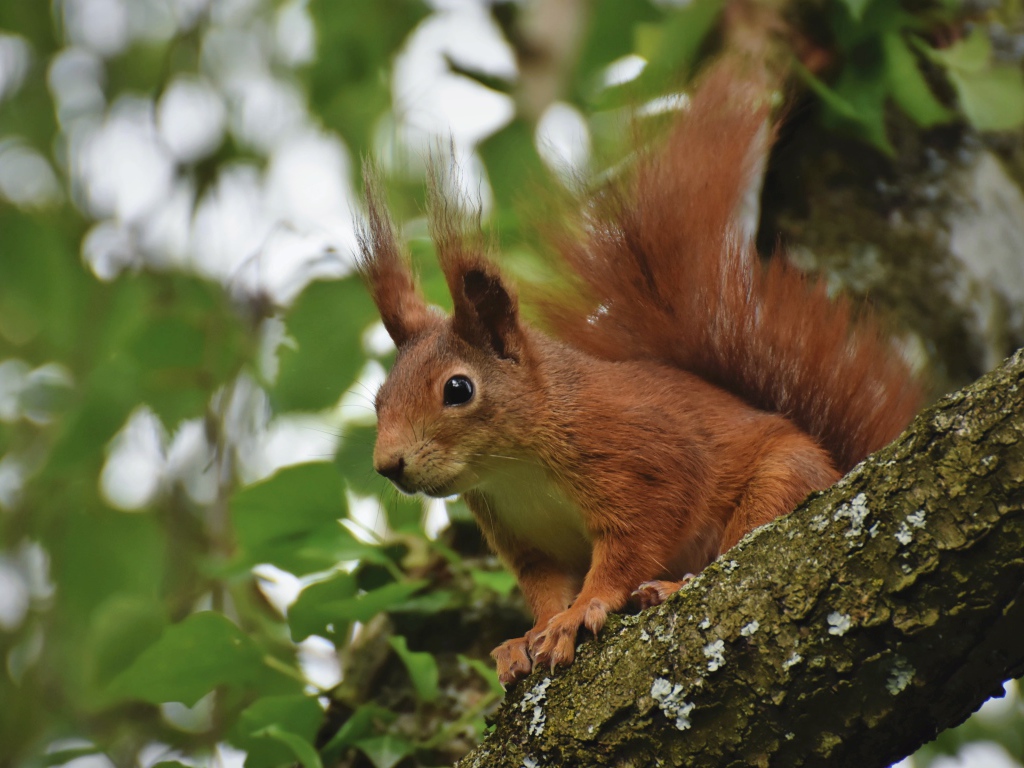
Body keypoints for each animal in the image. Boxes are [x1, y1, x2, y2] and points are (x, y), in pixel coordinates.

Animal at [354, 63, 921, 684]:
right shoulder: (525, 537)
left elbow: (631, 547)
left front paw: (580, 613)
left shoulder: (641, 459)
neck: (515, 467)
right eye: (379, 399)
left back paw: (672, 586)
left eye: (458, 389)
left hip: (783, 480)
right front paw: (527, 636)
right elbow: (543, 587)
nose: (387, 465)